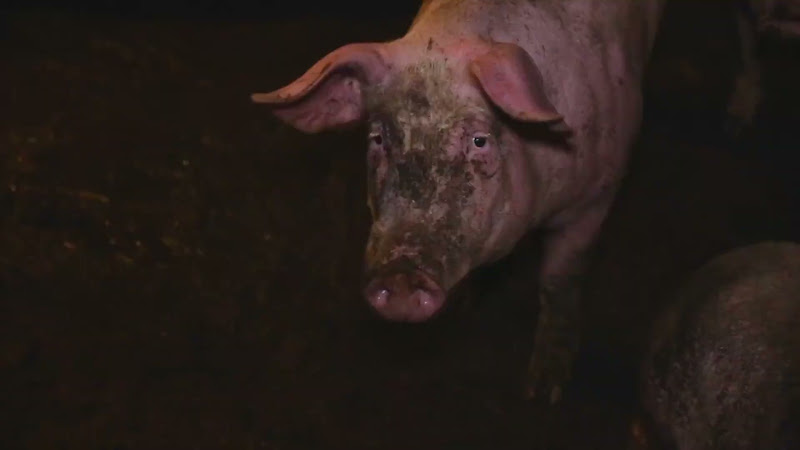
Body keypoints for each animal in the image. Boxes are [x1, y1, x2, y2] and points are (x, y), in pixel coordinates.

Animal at [251, 0, 666, 403]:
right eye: (378, 138)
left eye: (479, 141)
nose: (401, 272)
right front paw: (468, 302)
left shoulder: (595, 197)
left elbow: (559, 280)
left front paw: (544, 391)